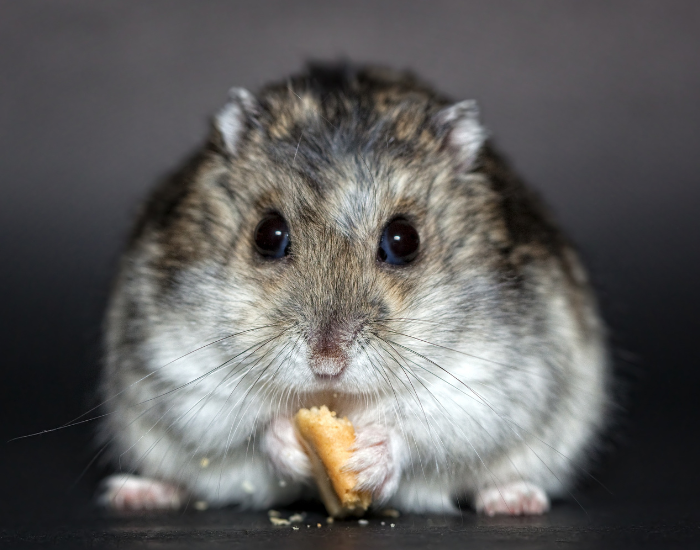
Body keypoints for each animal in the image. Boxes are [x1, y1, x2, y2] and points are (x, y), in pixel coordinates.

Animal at [98, 64, 609, 515]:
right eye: (268, 235)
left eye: (404, 240)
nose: (327, 365)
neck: (339, 399)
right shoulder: (180, 369)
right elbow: (248, 425)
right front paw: (290, 442)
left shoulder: (490, 380)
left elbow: (423, 429)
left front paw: (367, 459)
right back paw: (135, 493)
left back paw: (514, 501)